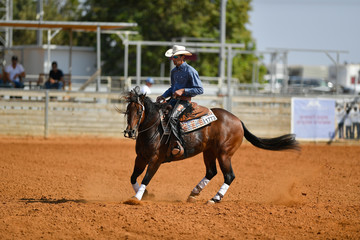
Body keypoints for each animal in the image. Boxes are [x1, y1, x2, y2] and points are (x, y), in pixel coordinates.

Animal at [122, 87, 300, 203]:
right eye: (127, 111)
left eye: (139, 111)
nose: (130, 132)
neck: (155, 128)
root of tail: (238, 120)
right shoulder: (141, 158)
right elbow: (133, 177)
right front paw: (145, 194)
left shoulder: (155, 160)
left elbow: (146, 177)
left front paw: (136, 198)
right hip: (209, 152)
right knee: (211, 172)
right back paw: (194, 193)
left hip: (224, 154)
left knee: (229, 176)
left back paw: (214, 199)